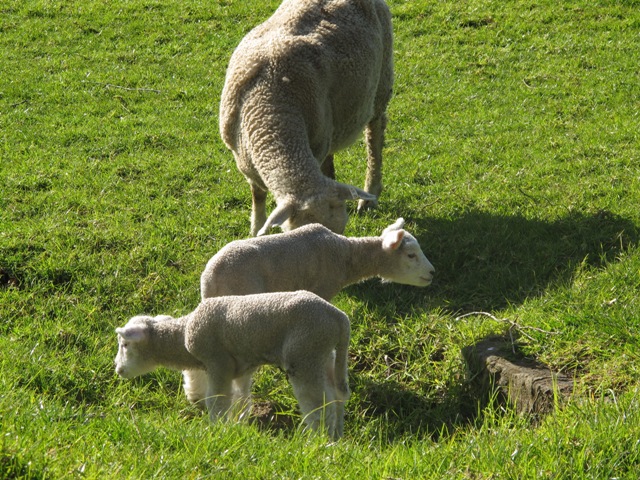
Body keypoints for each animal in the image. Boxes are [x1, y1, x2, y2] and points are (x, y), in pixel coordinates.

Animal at [115, 290, 350, 440]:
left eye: (125, 344)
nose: (118, 369)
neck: (182, 336)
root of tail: (338, 317)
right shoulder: (240, 368)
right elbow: (240, 398)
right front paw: (238, 423)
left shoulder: (218, 362)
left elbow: (217, 400)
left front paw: (216, 428)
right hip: (325, 356)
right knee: (335, 398)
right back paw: (336, 437)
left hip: (305, 354)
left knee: (320, 405)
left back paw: (318, 441)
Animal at [218, 0, 392, 234]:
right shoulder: (244, 160)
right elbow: (258, 195)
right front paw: (256, 230)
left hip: (382, 81)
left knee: (375, 136)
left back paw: (370, 194)